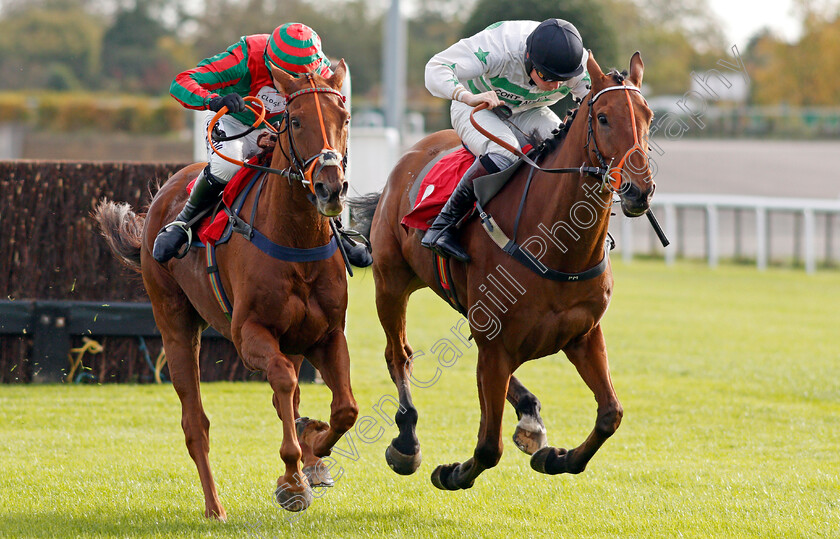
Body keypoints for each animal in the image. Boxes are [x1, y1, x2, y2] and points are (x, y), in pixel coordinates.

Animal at [95, 61, 358, 516]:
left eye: (343, 119)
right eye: (295, 120)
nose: (330, 187)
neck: (297, 241)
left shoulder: (326, 334)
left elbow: (344, 409)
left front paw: (313, 450)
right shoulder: (248, 333)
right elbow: (285, 382)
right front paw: (292, 480)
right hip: (175, 324)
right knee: (195, 423)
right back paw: (214, 507)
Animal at [352, 52, 652, 492]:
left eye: (649, 116)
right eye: (604, 118)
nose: (638, 189)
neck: (558, 249)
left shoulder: (583, 335)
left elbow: (610, 414)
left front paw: (555, 457)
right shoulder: (495, 345)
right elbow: (488, 447)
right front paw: (451, 473)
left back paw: (529, 417)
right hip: (391, 281)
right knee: (398, 354)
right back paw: (407, 442)